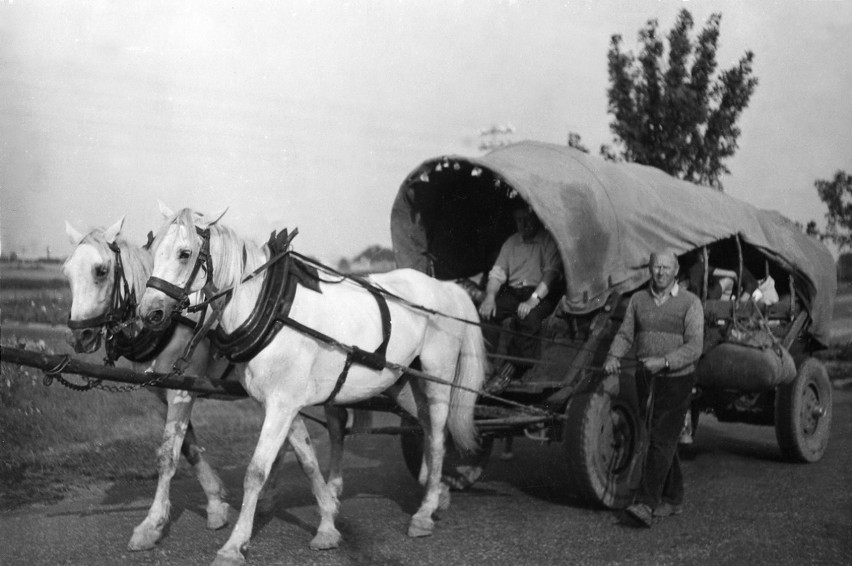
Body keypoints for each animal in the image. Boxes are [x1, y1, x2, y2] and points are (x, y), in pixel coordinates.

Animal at [62, 217, 350, 556]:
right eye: (66, 272)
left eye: (101, 270)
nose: (80, 336)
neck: (172, 320)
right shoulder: (163, 394)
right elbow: (188, 448)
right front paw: (215, 504)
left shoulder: (182, 391)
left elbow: (168, 456)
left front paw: (151, 525)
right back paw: (272, 496)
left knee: (336, 424)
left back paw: (334, 489)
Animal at [140, 207, 486, 566]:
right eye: (153, 251)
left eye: (185, 253)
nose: (149, 312)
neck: (272, 308)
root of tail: (446, 288)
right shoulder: (283, 404)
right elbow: (307, 462)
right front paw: (328, 524)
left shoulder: (281, 405)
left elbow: (256, 471)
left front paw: (234, 545)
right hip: (405, 385)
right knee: (427, 429)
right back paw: (435, 490)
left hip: (436, 378)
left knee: (439, 438)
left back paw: (425, 511)